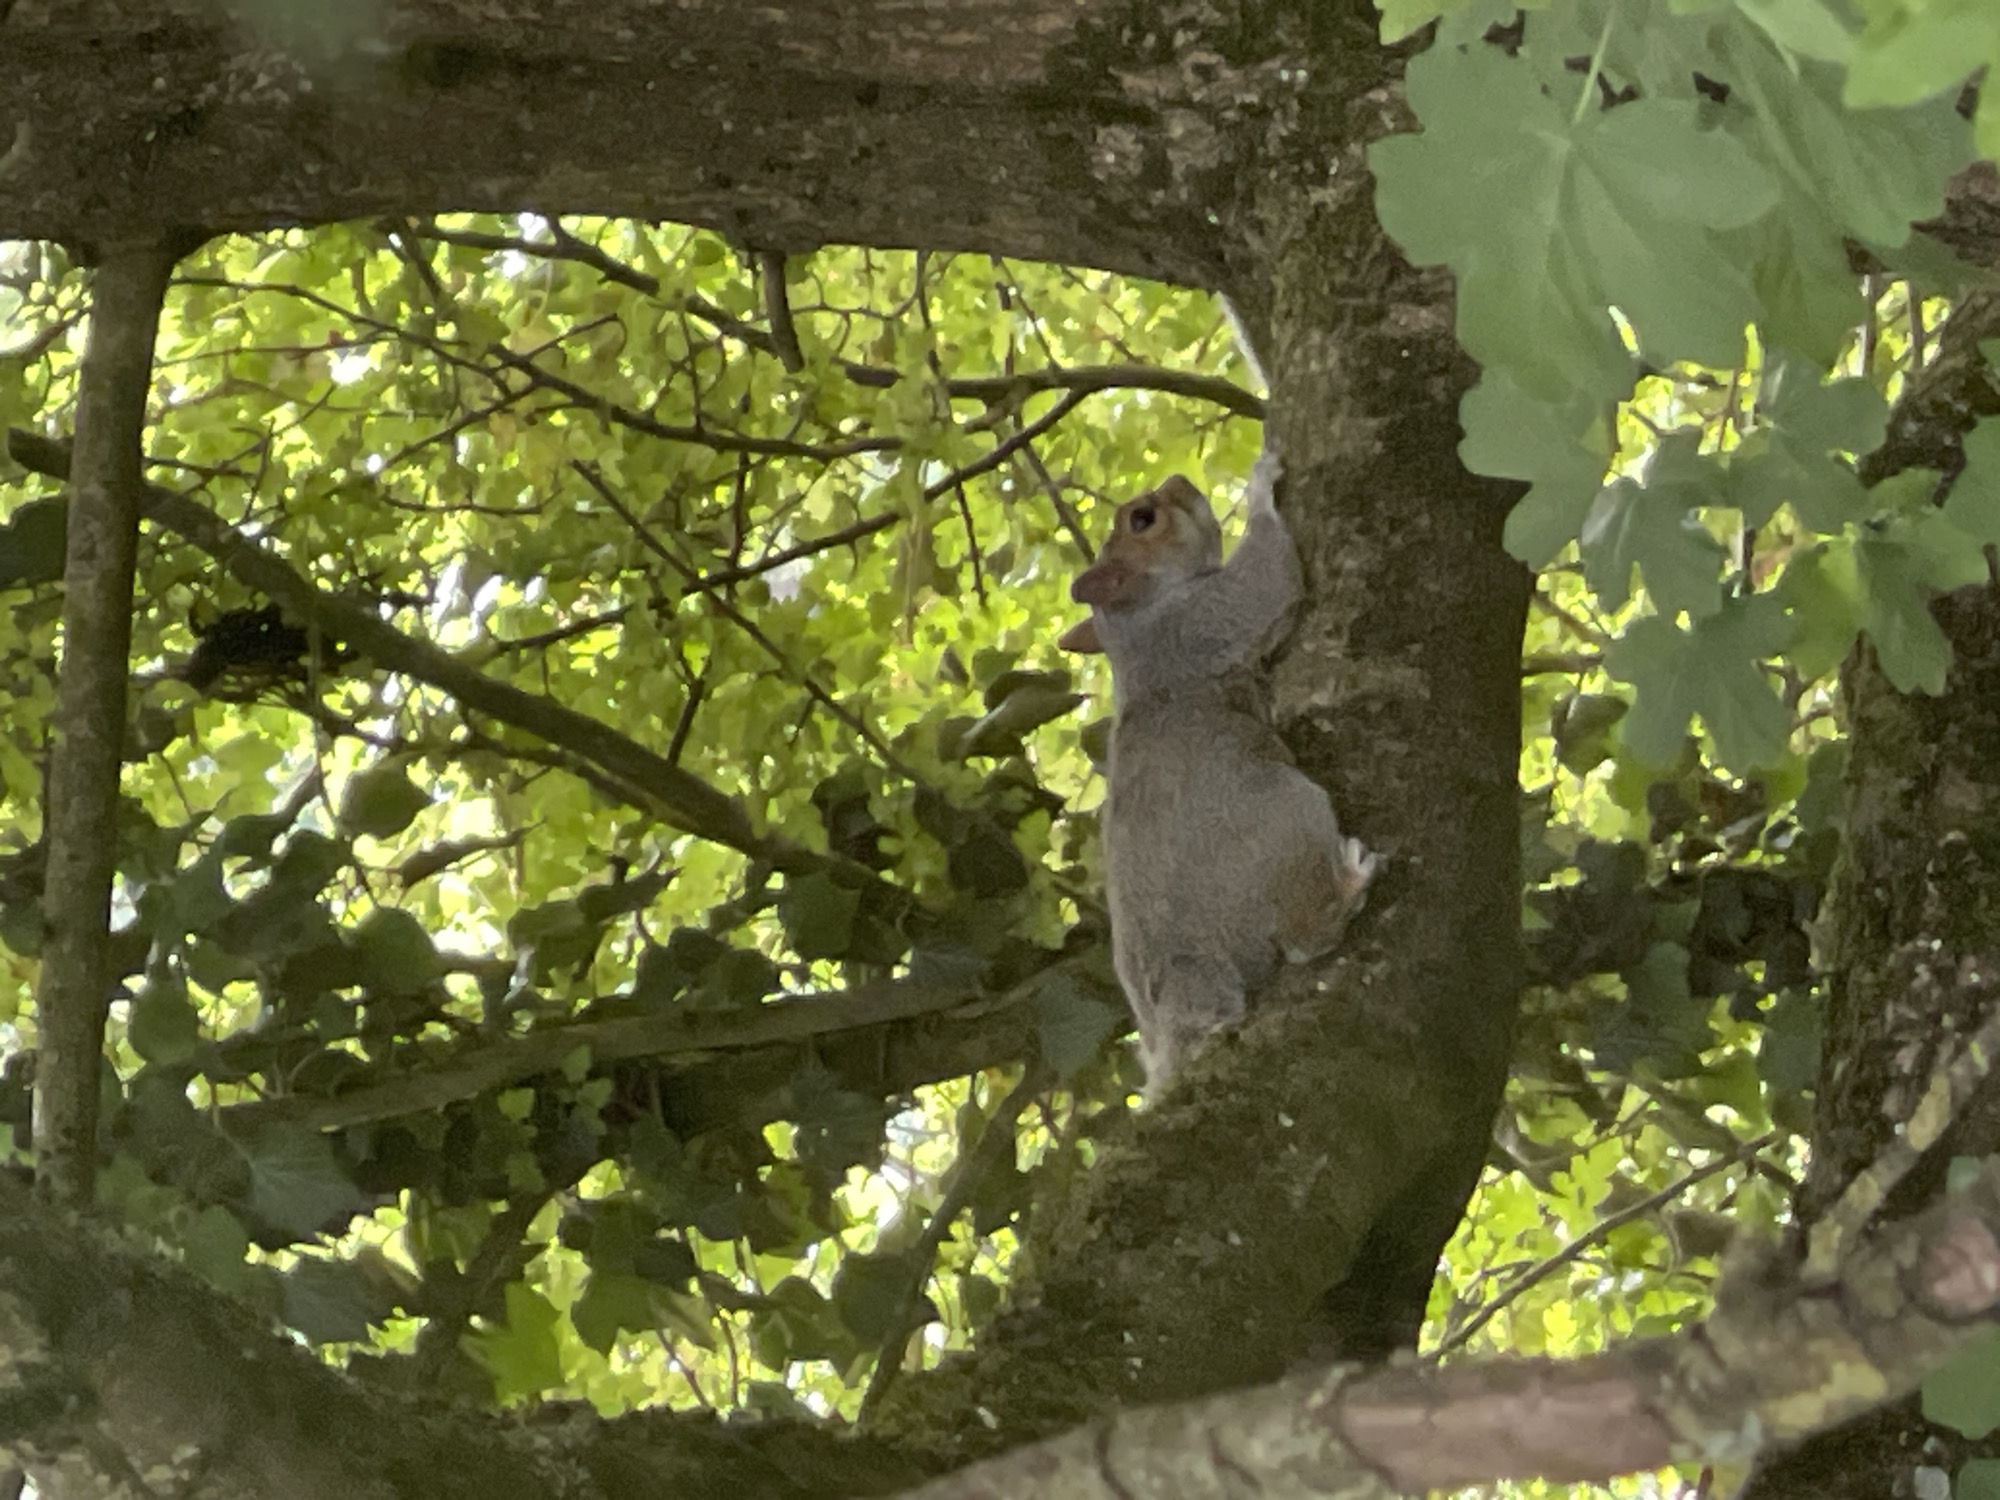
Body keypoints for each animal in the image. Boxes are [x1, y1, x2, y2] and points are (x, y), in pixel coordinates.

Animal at [1059, 449, 1378, 1095]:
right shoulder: (1205, 621)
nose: (1180, 480)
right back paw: (1348, 885)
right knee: (1307, 939)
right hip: (1287, 817)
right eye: (1143, 519)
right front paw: (1259, 485)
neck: (1138, 625)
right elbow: (1267, 576)